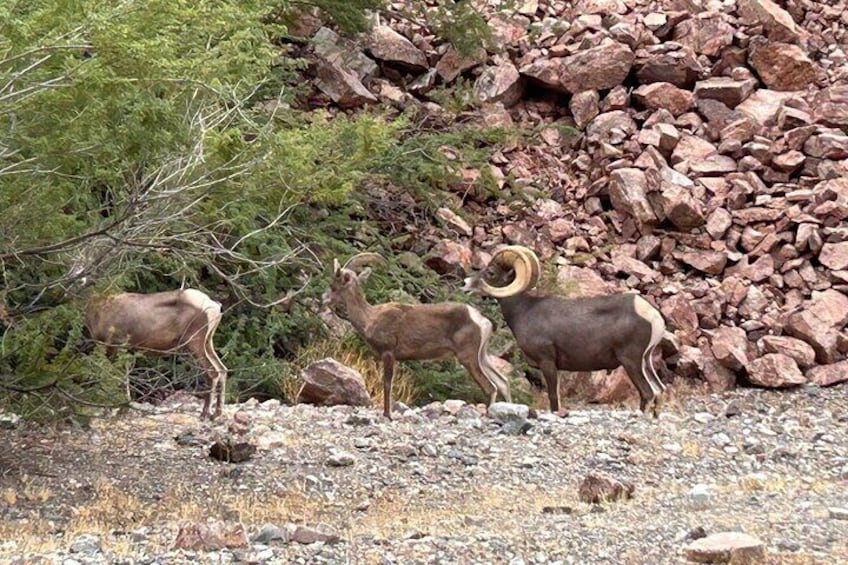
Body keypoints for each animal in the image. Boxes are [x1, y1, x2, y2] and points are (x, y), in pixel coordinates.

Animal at [84, 288, 227, 416]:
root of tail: (216, 307)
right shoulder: (128, 349)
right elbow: (125, 377)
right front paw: (123, 409)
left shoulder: (115, 343)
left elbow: (113, 376)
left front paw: (111, 409)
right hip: (208, 340)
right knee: (222, 369)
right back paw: (217, 413)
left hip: (195, 339)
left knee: (212, 371)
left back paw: (206, 413)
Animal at [322, 253, 510, 416]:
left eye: (334, 285)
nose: (324, 298)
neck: (370, 318)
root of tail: (482, 321)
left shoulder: (388, 354)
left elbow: (387, 384)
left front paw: (387, 415)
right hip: (482, 356)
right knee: (503, 383)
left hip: (468, 358)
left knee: (491, 387)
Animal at [464, 246, 668, 414]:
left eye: (490, 272)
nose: (465, 283)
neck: (524, 310)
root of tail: (652, 315)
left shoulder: (547, 362)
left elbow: (553, 398)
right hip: (646, 360)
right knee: (659, 390)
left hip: (631, 361)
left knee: (648, 392)